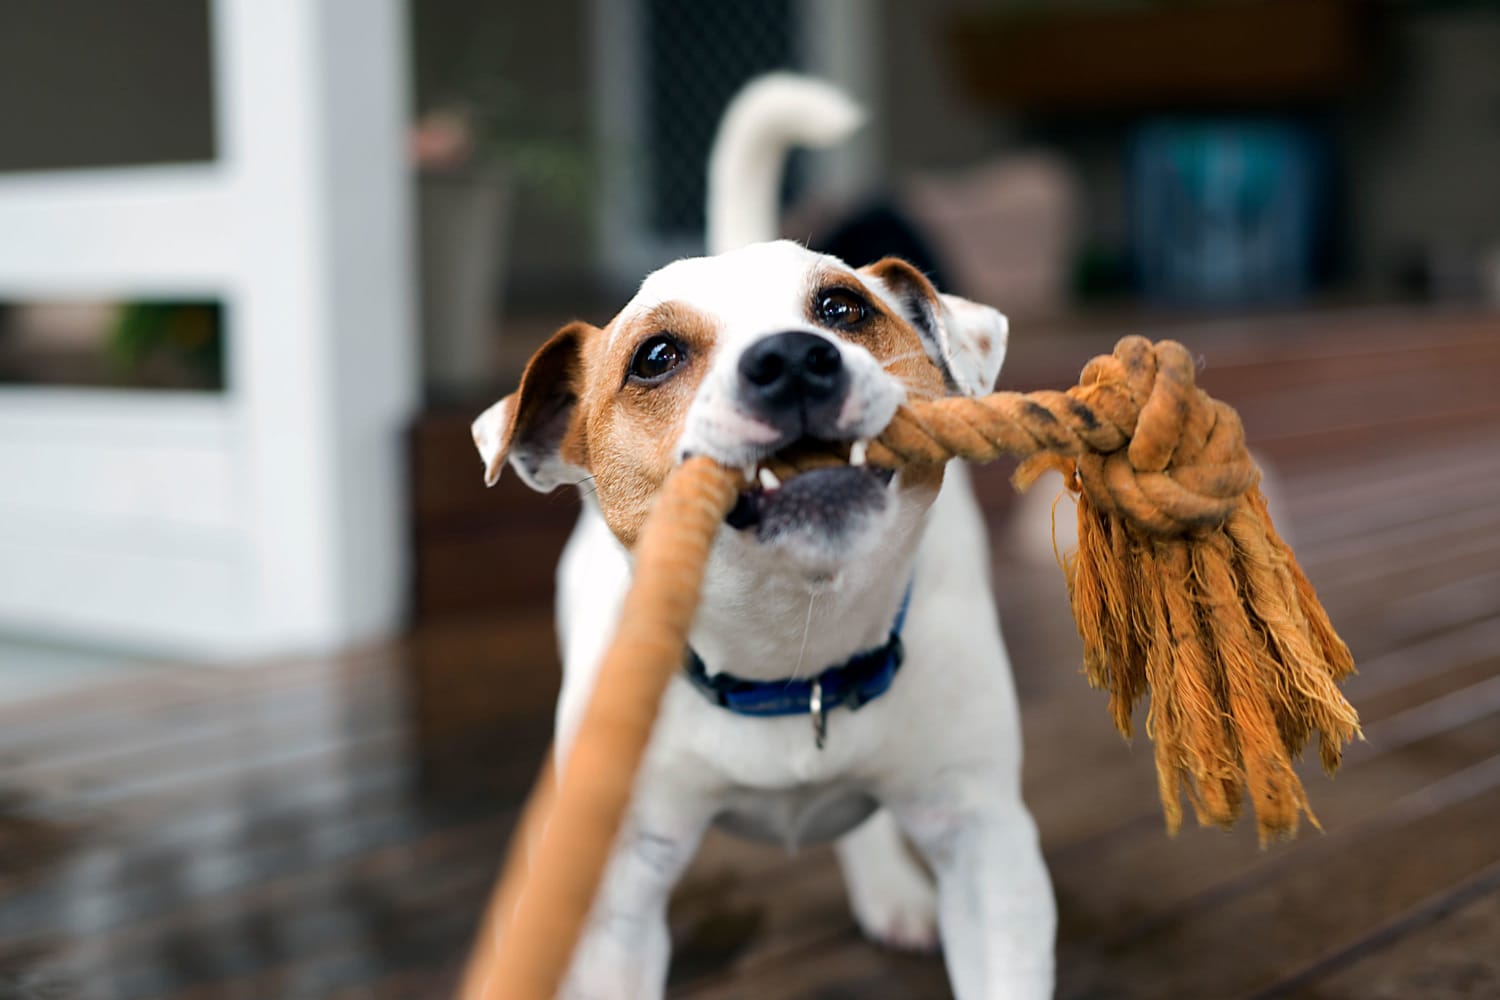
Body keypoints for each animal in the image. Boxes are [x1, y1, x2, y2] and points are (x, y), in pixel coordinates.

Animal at [468, 76, 1056, 1000]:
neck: (793, 657)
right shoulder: (620, 896)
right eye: (656, 356)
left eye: (843, 307)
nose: (791, 359)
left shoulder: (988, 846)